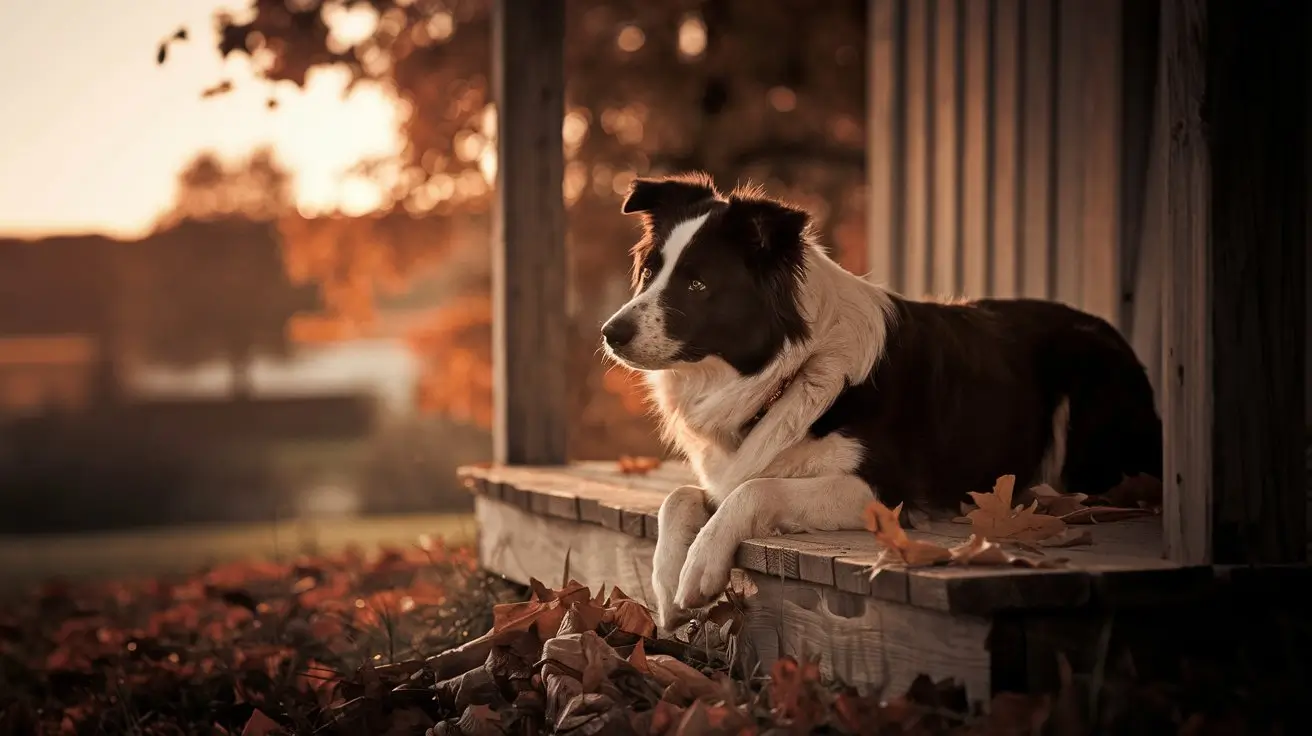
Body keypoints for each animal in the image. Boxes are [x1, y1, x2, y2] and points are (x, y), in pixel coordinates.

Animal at [600, 173, 1165, 624]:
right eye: (649, 273)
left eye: (697, 284)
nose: (611, 333)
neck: (792, 367)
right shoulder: (728, 469)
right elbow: (679, 495)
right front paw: (667, 583)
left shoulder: (886, 491)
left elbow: (757, 489)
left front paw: (700, 564)